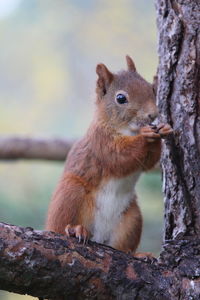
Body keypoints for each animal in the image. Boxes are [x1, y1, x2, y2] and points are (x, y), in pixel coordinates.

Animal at [46, 55, 173, 253]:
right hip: (70, 194)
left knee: (122, 248)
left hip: (132, 218)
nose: (153, 115)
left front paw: (164, 129)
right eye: (120, 98)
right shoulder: (100, 141)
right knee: (59, 226)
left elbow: (147, 162)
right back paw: (75, 230)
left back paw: (139, 255)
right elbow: (119, 157)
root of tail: (98, 237)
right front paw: (145, 137)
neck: (128, 130)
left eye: (152, 88)